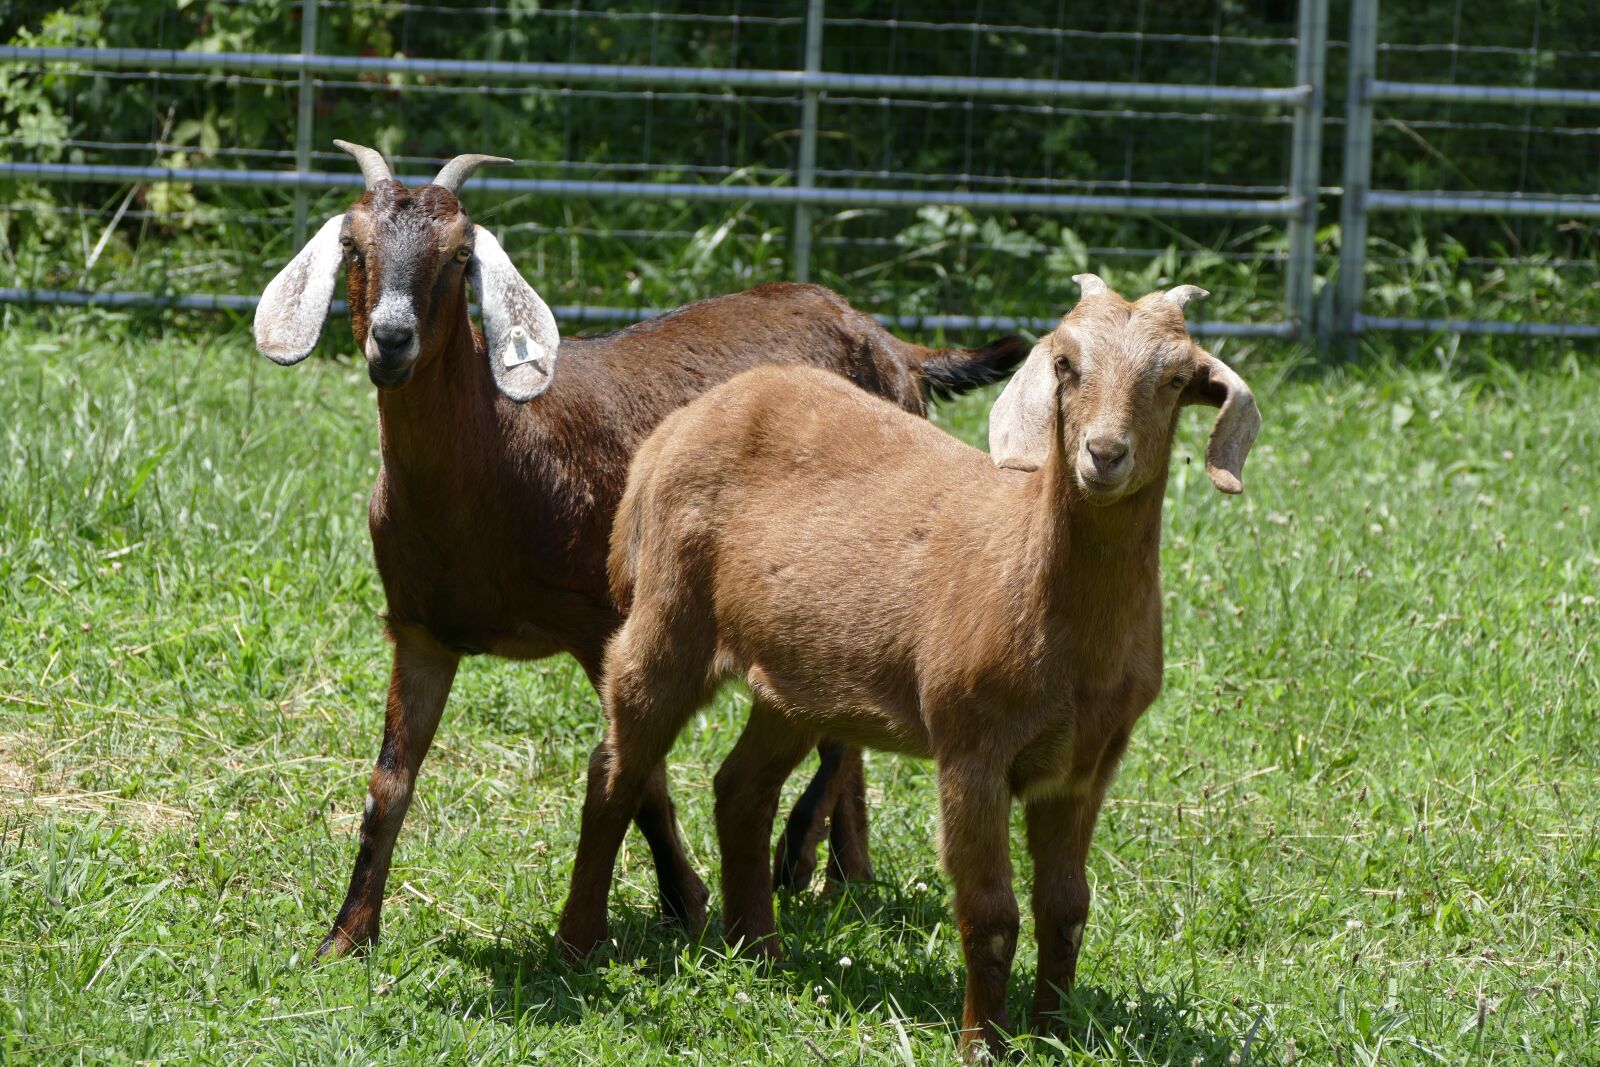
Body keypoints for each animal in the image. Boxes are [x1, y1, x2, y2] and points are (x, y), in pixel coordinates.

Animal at [251, 140, 1027, 959]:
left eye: (460, 254)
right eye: (352, 245)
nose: (391, 339)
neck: (500, 453)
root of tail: (890, 342)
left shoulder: (604, 622)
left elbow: (643, 774)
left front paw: (683, 901)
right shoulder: (423, 631)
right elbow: (388, 784)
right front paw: (346, 935)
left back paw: (801, 855)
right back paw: (842, 871)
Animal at [556, 275, 1259, 1058]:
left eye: (1175, 379)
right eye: (1066, 365)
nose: (1103, 454)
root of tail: (672, 434)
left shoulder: (1085, 764)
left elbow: (1066, 906)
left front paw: (1054, 1034)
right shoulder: (972, 747)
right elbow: (991, 915)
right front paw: (983, 1045)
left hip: (796, 679)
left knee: (740, 787)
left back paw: (760, 951)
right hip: (667, 616)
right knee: (615, 768)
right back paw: (577, 945)